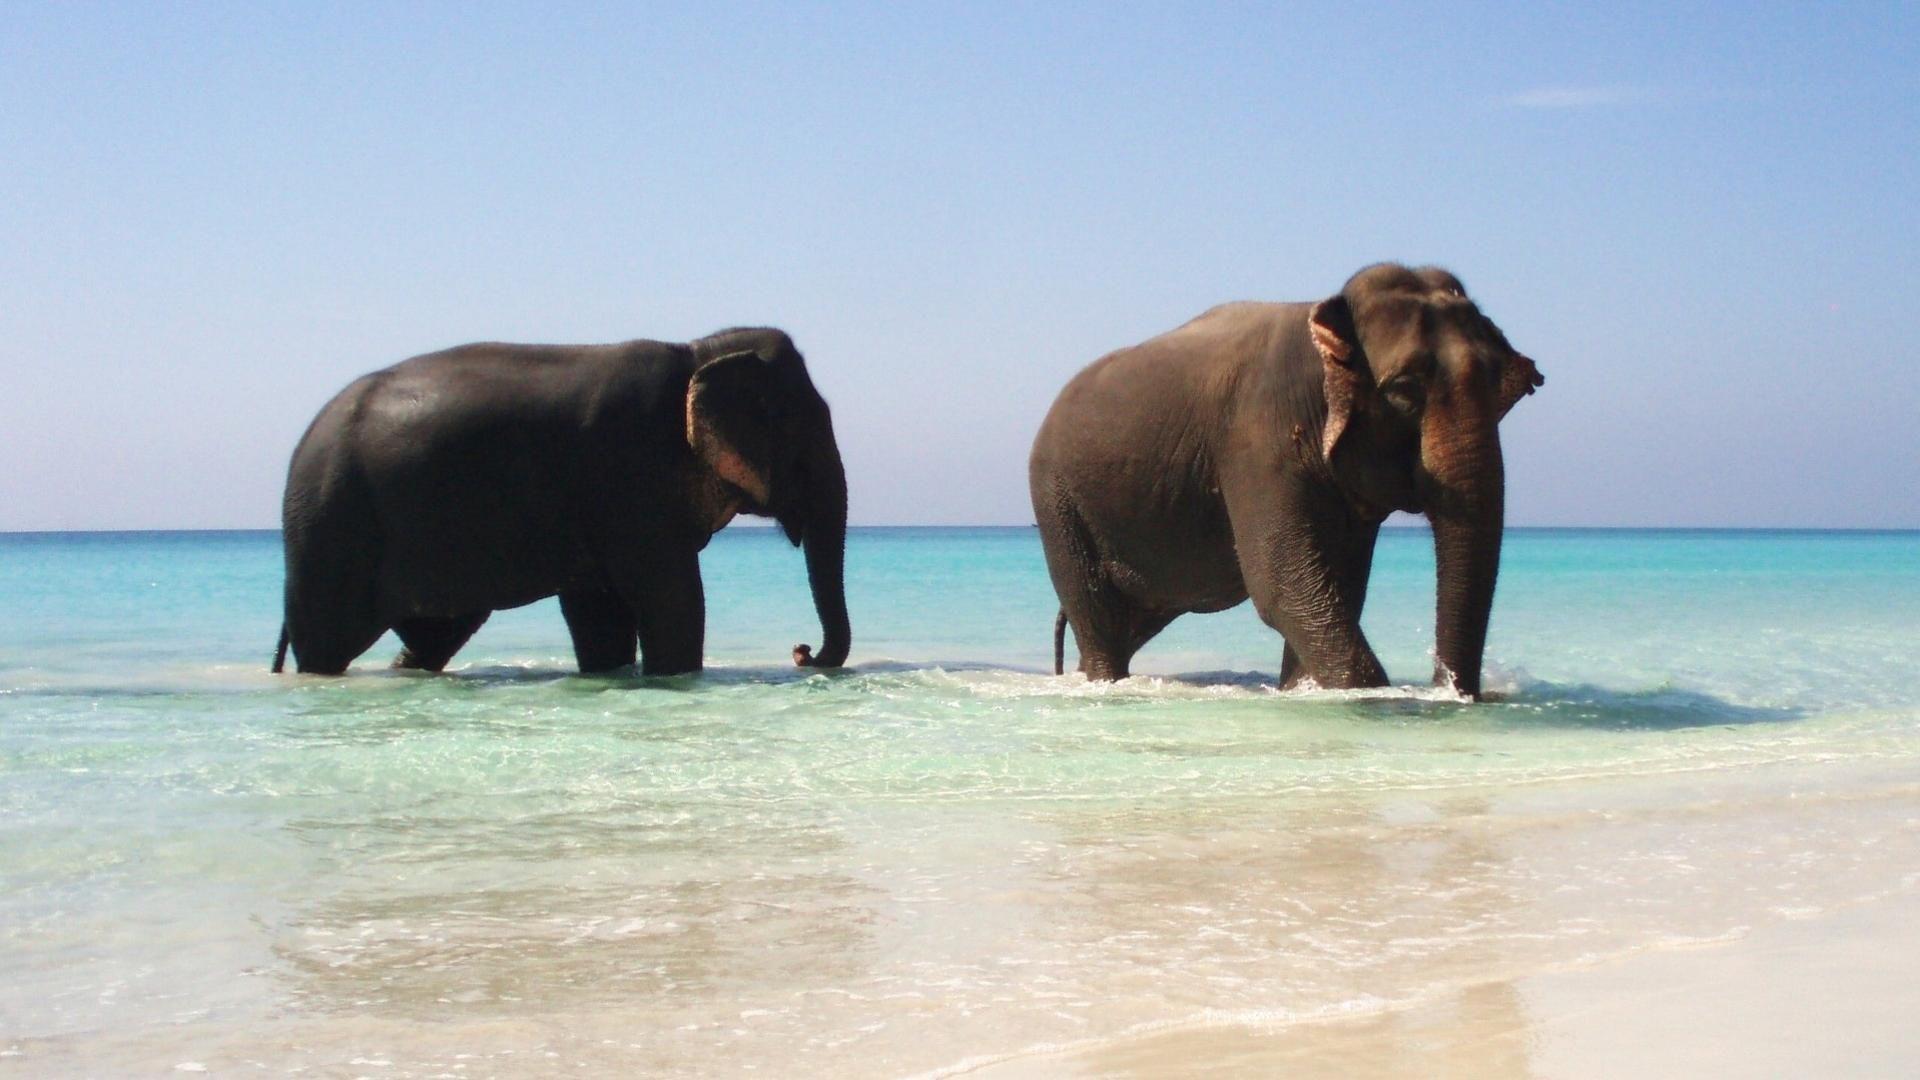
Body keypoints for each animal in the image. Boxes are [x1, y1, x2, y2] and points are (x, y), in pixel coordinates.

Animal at [271, 326, 850, 676]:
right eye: (805, 441)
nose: (801, 652)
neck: (696, 351)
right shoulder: (626, 471)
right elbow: (672, 598)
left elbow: (600, 612)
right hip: (330, 530)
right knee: (328, 642)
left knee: (437, 634)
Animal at [1029, 264, 1542, 699]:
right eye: (1403, 391)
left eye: (1501, 388)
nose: (1448, 688)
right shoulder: (1256, 443)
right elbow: (1282, 585)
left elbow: (1337, 588)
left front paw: (1301, 690)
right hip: (1057, 503)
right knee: (1098, 620)